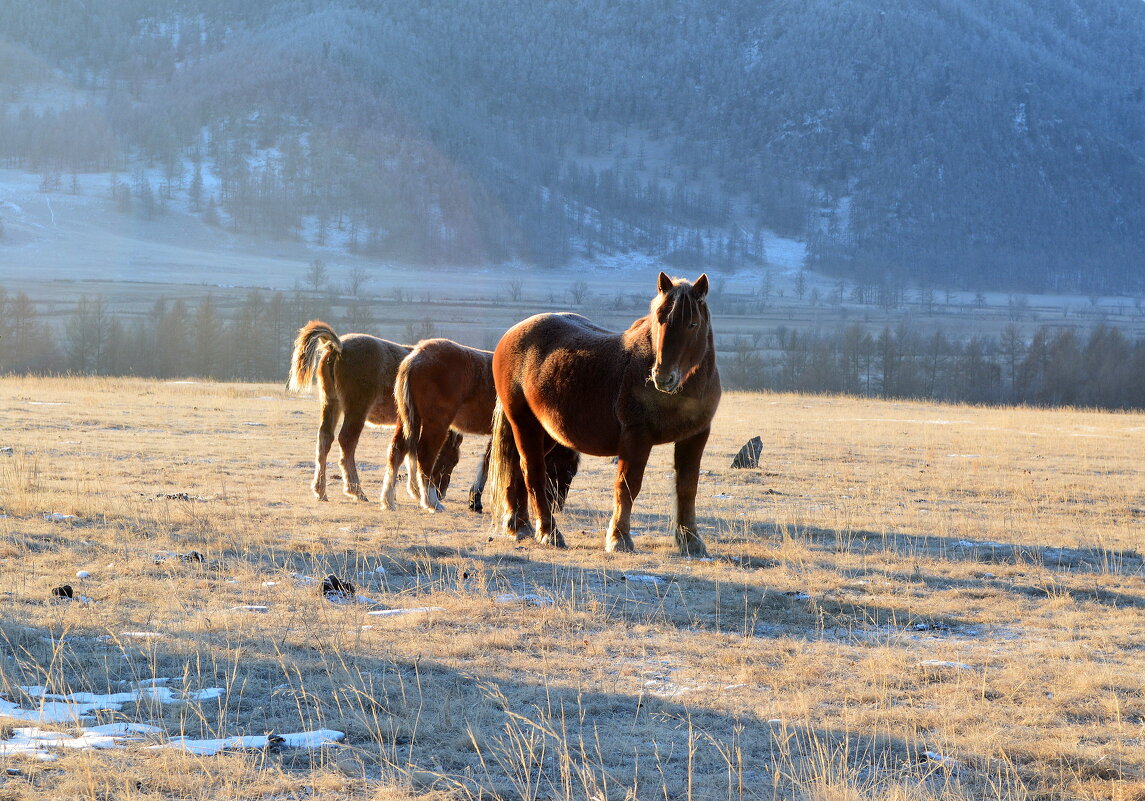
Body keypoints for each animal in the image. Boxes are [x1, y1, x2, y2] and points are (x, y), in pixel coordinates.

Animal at [286, 318, 460, 501]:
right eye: (453, 460)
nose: (441, 493)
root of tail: (338, 347)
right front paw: (416, 491)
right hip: (357, 410)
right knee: (346, 441)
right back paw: (355, 490)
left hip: (331, 403)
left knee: (325, 439)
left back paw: (320, 490)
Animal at [382, 338, 581, 512]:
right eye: (568, 470)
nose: (557, 507)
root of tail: (416, 357)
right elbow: (489, 463)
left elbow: (487, 461)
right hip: (436, 424)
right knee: (424, 455)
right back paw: (431, 502)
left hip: (409, 420)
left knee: (397, 451)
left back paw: (389, 499)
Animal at [487, 272, 719, 553]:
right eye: (659, 319)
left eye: (693, 324)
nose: (662, 377)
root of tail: (510, 335)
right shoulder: (636, 436)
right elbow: (628, 485)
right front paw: (619, 538)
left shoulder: (695, 436)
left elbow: (687, 487)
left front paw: (691, 541)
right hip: (524, 424)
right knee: (533, 473)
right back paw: (548, 533)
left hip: (546, 432)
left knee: (519, 471)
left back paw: (520, 527)